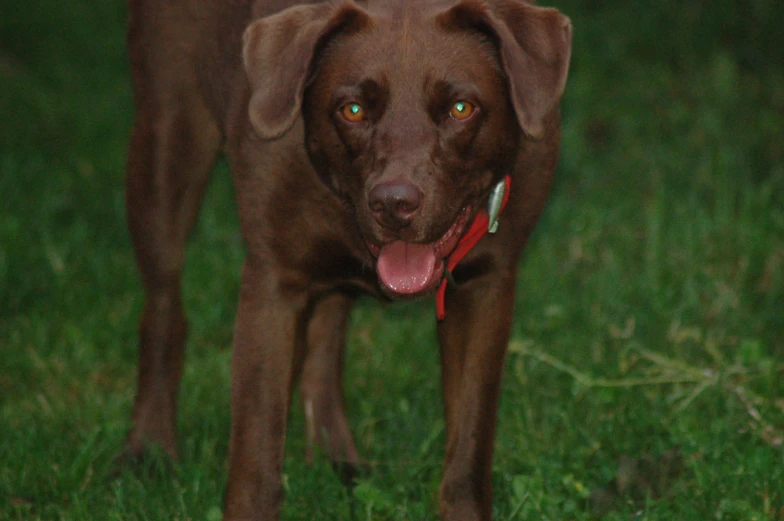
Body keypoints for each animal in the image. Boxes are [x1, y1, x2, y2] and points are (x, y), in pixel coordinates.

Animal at [124, 2, 568, 516]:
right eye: (352, 110)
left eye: (461, 108)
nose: (394, 203)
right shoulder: (273, 284)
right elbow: (256, 448)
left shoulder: (486, 284)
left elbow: (470, 445)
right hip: (167, 146)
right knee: (164, 307)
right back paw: (148, 448)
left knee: (326, 333)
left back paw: (335, 457)